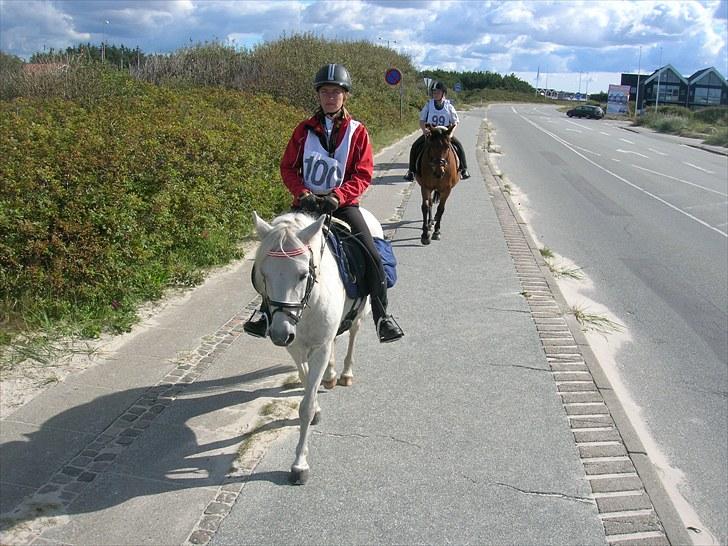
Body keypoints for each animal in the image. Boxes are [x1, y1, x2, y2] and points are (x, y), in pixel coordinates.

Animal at [252, 207, 382, 480]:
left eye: (303, 274)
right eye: (264, 274)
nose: (279, 333)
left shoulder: (318, 348)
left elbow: (306, 407)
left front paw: (299, 464)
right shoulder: (295, 346)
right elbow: (305, 380)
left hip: (360, 313)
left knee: (352, 336)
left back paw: (345, 373)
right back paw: (331, 375)